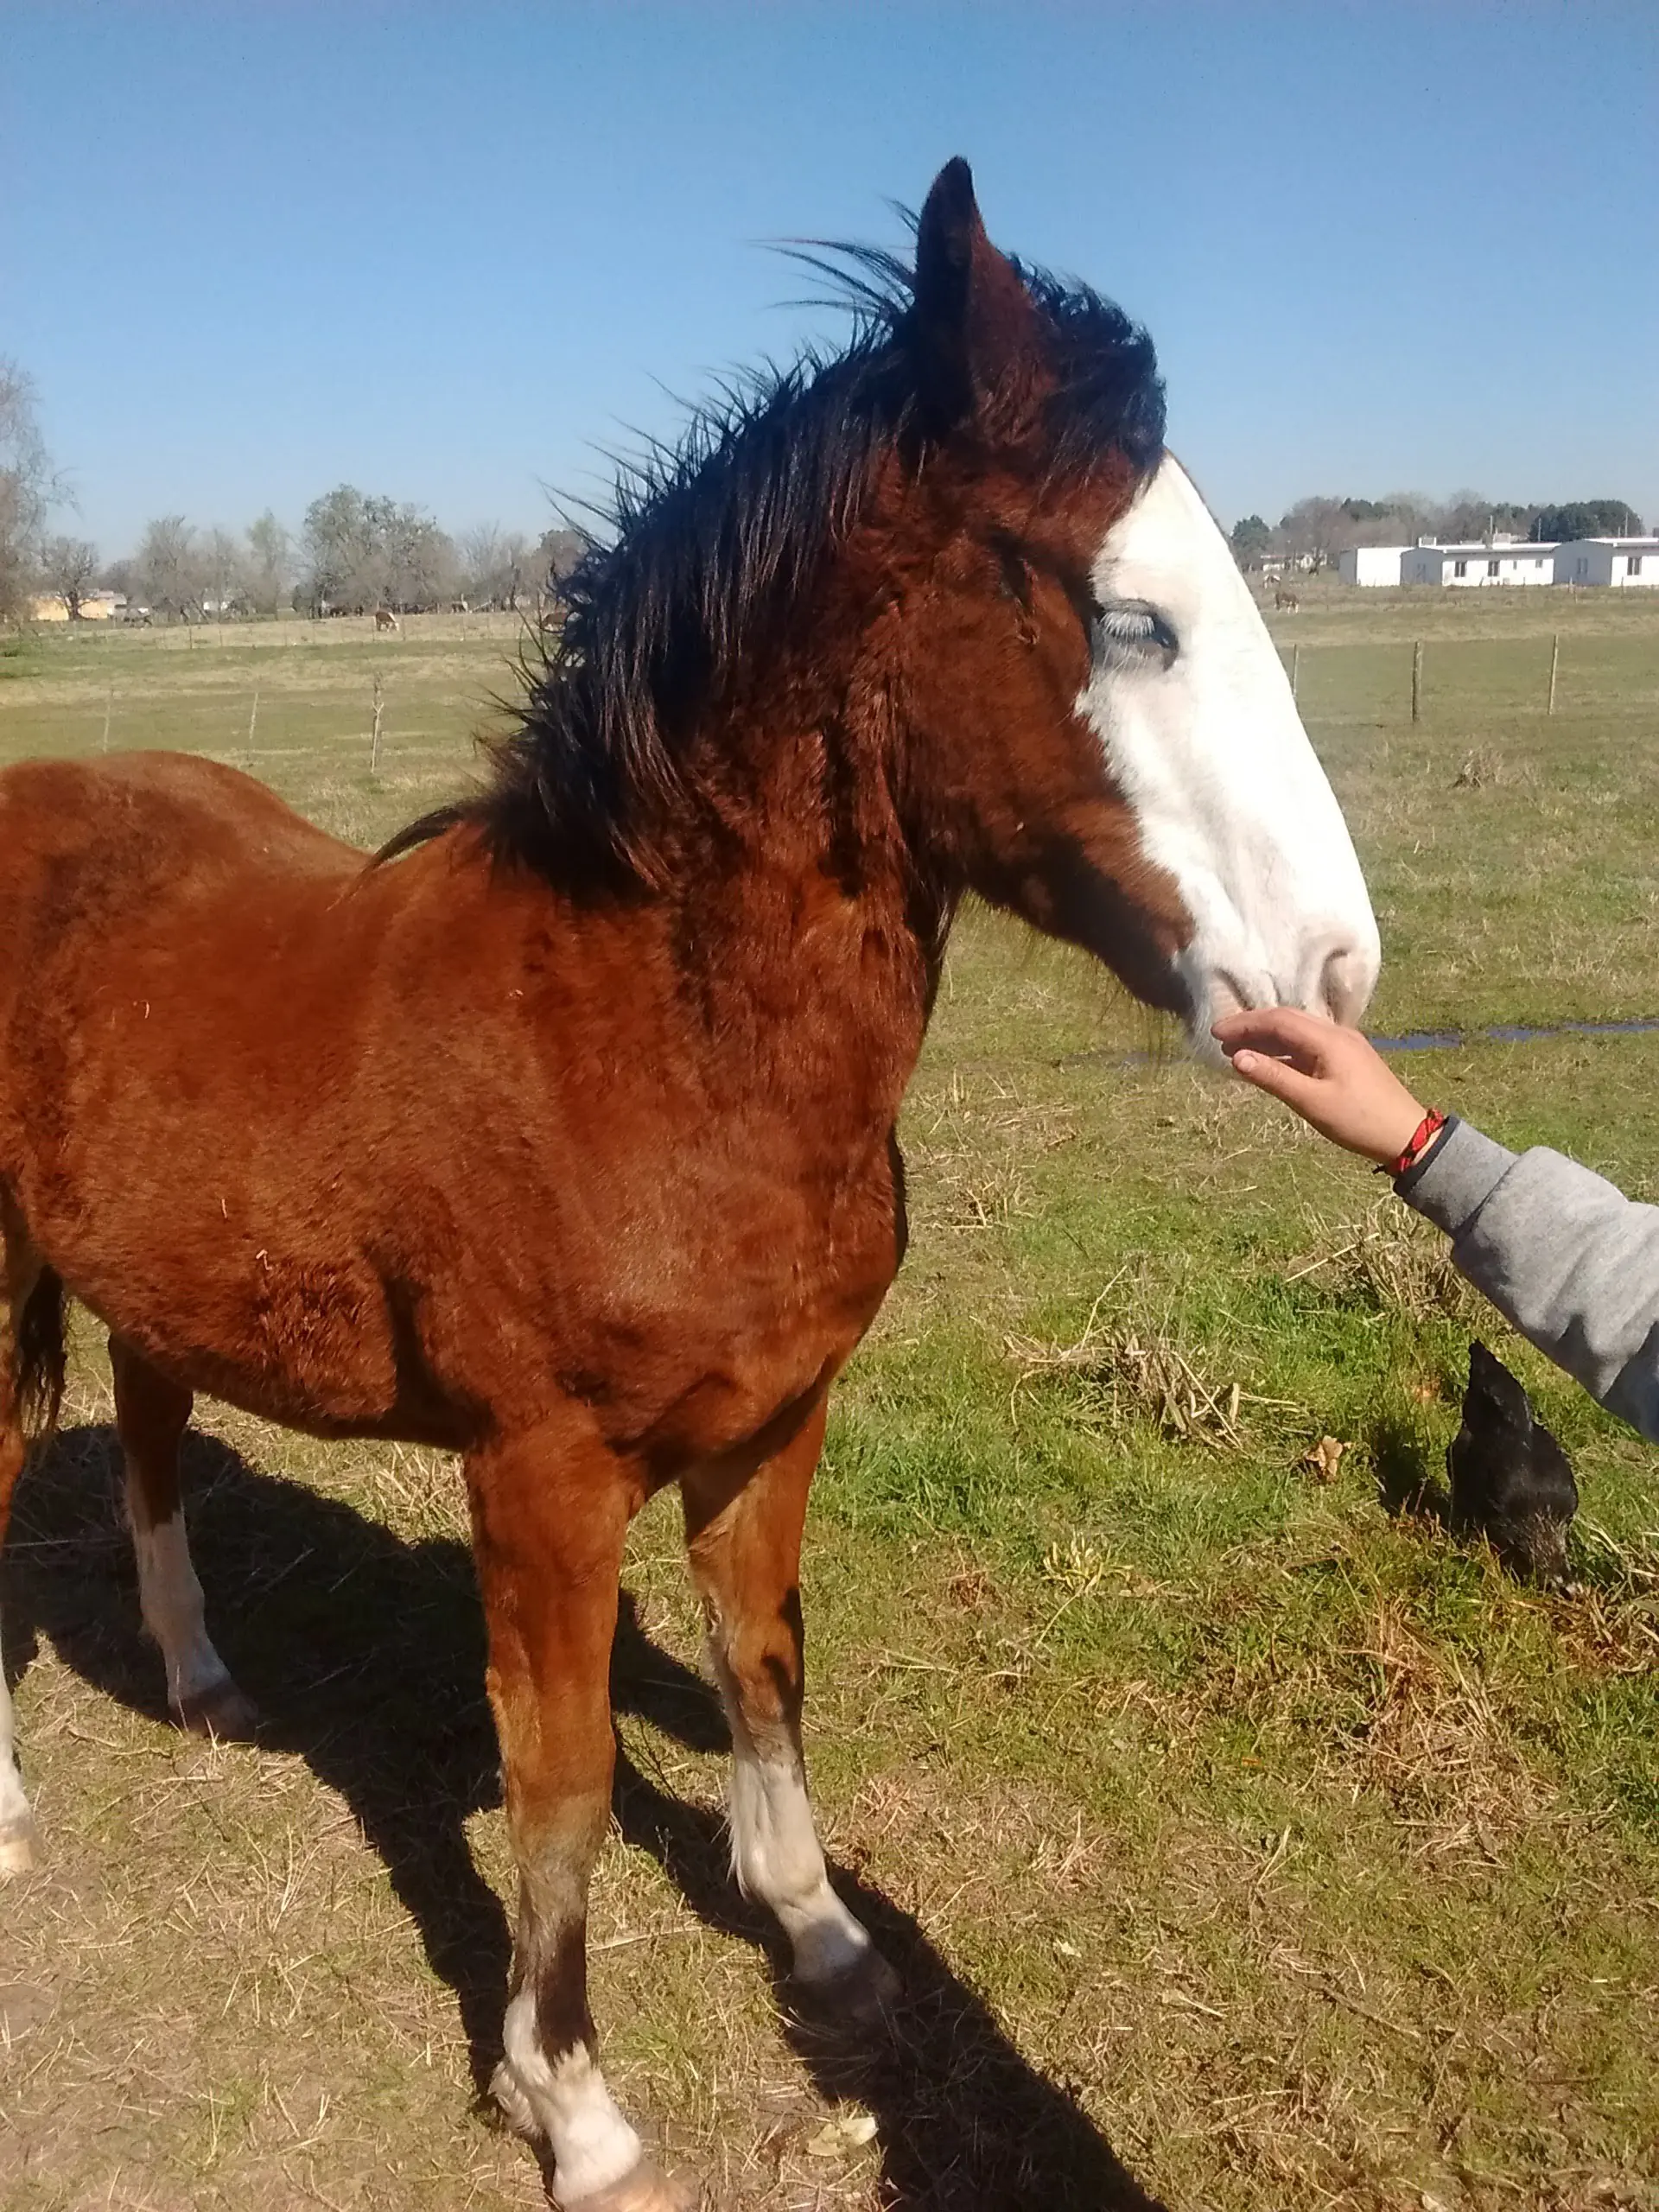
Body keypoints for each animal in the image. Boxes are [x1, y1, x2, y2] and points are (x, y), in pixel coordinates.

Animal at [0, 160, 1378, 2211]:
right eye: (1135, 621)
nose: (1334, 978)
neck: (648, 1038)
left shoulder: (776, 1424)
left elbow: (765, 1672)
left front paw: (819, 1934)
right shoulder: (545, 1479)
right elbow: (558, 1782)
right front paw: (565, 2096)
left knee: (155, 1432)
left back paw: (203, 1678)